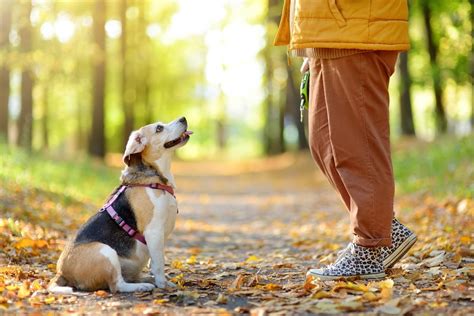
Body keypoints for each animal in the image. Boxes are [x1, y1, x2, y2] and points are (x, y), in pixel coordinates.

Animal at [48, 116, 193, 294]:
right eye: (159, 128)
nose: (183, 118)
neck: (156, 179)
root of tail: (61, 272)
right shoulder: (154, 231)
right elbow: (159, 263)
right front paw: (163, 284)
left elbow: (155, 261)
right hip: (105, 251)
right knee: (117, 285)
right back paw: (142, 286)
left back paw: (145, 280)